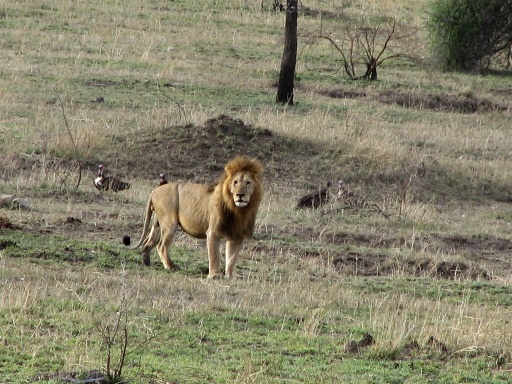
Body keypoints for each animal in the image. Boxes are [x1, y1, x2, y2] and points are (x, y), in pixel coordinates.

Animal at [125, 156, 264, 280]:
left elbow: (231, 258)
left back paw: (147, 263)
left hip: (158, 224)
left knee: (149, 242)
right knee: (161, 246)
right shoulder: (213, 232)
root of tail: (156, 189)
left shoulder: (237, 235)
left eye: (248, 183)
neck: (238, 210)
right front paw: (214, 275)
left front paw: (229, 276)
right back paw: (170, 267)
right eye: (235, 182)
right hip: (169, 223)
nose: (240, 195)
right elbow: (214, 255)